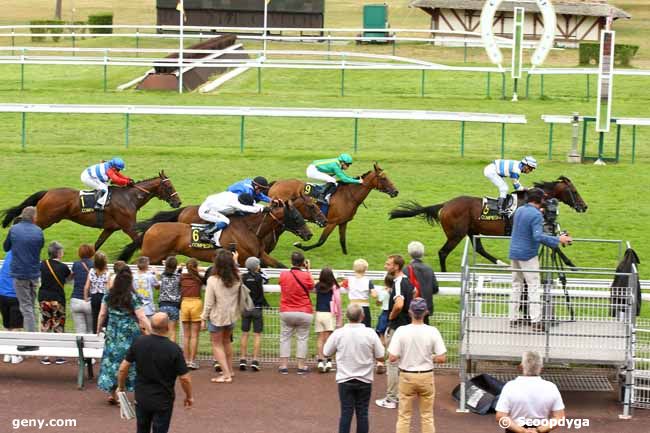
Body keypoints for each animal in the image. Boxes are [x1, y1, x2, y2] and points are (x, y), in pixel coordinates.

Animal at [2, 170, 181, 248]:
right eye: (169, 186)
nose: (178, 202)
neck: (129, 198)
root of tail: (47, 192)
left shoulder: (110, 228)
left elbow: (97, 245)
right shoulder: (128, 227)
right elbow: (139, 241)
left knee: (19, 219)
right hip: (46, 218)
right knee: (20, 221)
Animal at [117, 194, 324, 262]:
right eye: (296, 217)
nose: (309, 234)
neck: (252, 229)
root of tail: (152, 229)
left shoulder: (260, 255)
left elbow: (279, 266)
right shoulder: (244, 259)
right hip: (151, 255)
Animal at [270, 161, 398, 253]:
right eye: (383, 178)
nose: (396, 192)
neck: (348, 196)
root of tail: (275, 183)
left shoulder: (343, 222)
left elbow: (342, 241)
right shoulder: (331, 222)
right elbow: (321, 241)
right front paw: (301, 246)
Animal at [390, 176, 588, 270]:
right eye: (574, 191)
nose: (584, 206)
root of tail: (445, 204)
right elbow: (554, 246)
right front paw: (572, 265)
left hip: (471, 231)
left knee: (479, 249)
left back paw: (501, 263)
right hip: (456, 234)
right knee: (443, 252)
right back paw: (445, 274)